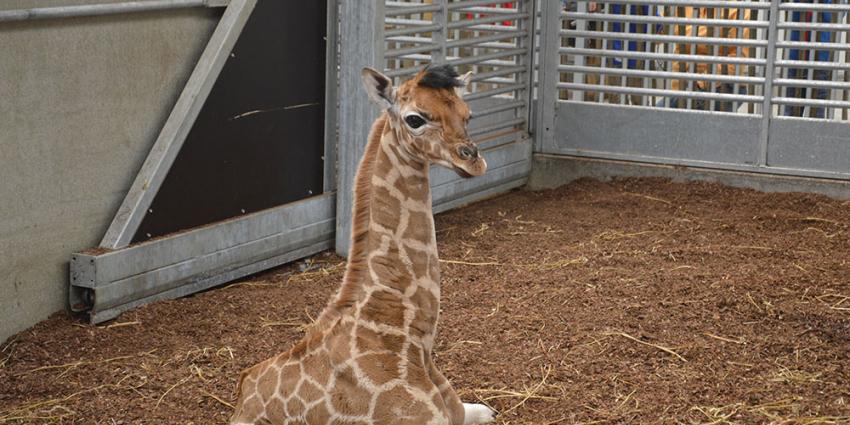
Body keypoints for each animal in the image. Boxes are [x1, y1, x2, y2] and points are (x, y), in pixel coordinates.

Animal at [230, 65, 496, 424]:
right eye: (415, 119)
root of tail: (242, 393)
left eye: (468, 115)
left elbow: (480, 410)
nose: (473, 160)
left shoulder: (457, 410)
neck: (411, 341)